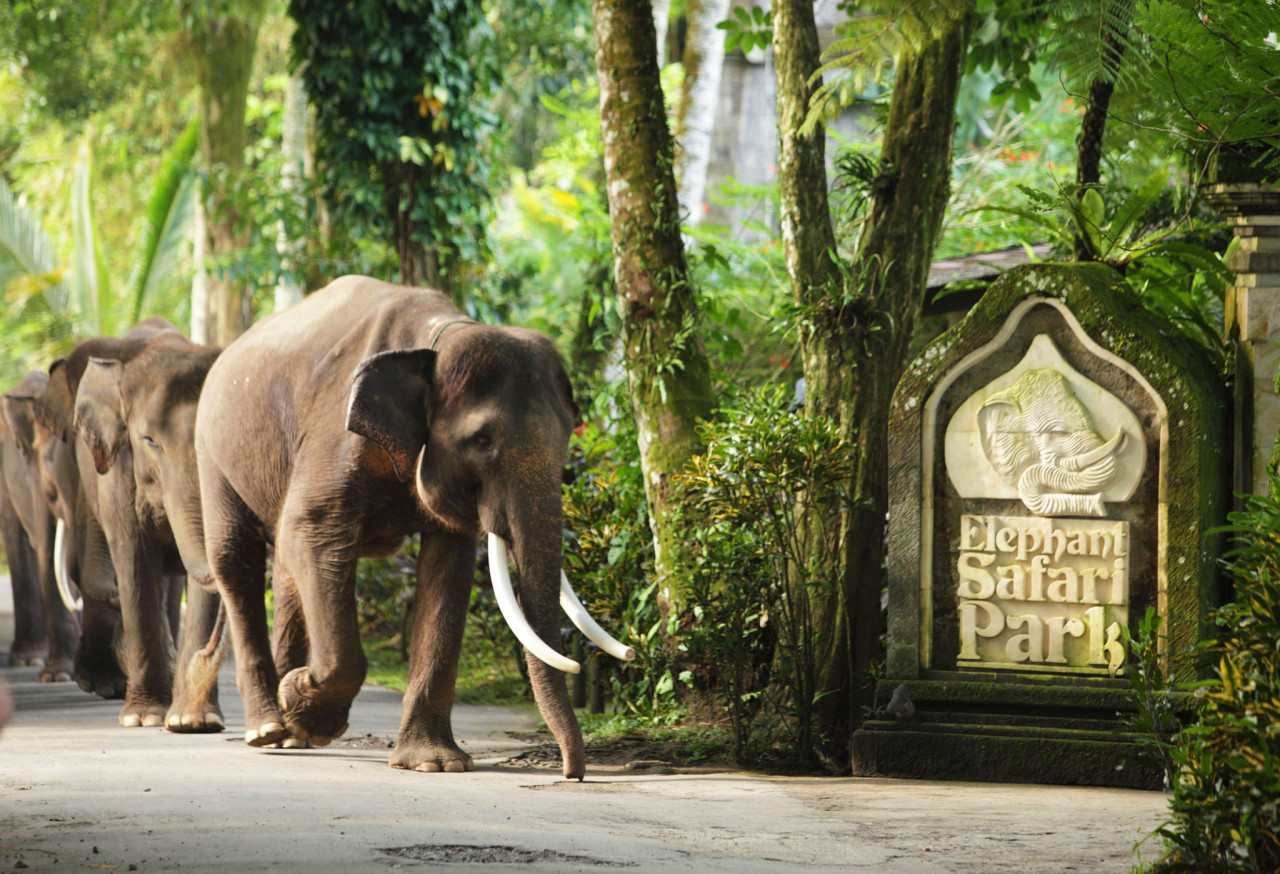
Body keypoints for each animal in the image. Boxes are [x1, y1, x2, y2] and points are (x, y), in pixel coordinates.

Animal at [1, 368, 80, 675]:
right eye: (52, 461)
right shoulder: (37, 480)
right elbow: (48, 555)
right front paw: (60, 674)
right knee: (20, 548)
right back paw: (29, 658)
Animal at [197, 275, 632, 778]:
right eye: (482, 441)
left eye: (568, 437)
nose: (572, 772)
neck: (438, 338)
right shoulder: (333, 435)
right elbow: (313, 532)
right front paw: (307, 706)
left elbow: (448, 565)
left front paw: (433, 764)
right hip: (212, 451)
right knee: (237, 561)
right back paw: (268, 728)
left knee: (285, 571)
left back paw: (290, 735)